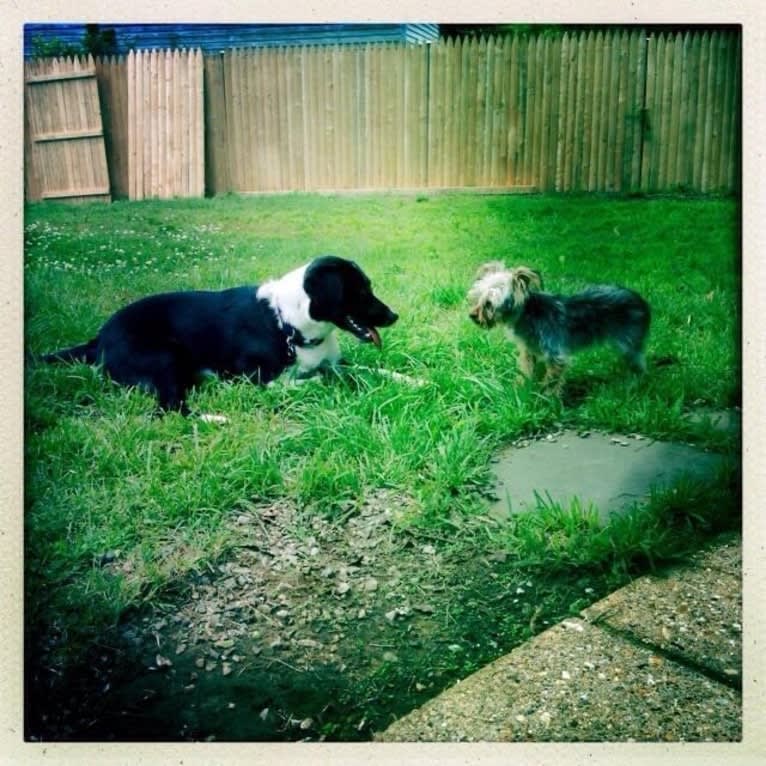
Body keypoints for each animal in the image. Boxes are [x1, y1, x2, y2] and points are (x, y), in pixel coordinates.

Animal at [42, 256, 400, 414]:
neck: (287, 322)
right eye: (361, 291)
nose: (394, 316)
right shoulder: (256, 378)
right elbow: (322, 379)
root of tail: (98, 338)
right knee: (169, 408)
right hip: (165, 356)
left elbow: (376, 370)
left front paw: (412, 380)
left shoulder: (336, 362)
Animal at [468, 264, 656, 396]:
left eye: (489, 304)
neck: (527, 314)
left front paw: (546, 398)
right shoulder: (528, 351)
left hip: (628, 342)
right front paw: (520, 390)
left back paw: (633, 385)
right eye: (476, 298)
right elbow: (525, 370)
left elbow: (552, 380)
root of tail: (641, 300)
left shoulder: (555, 354)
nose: (472, 315)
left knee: (639, 365)